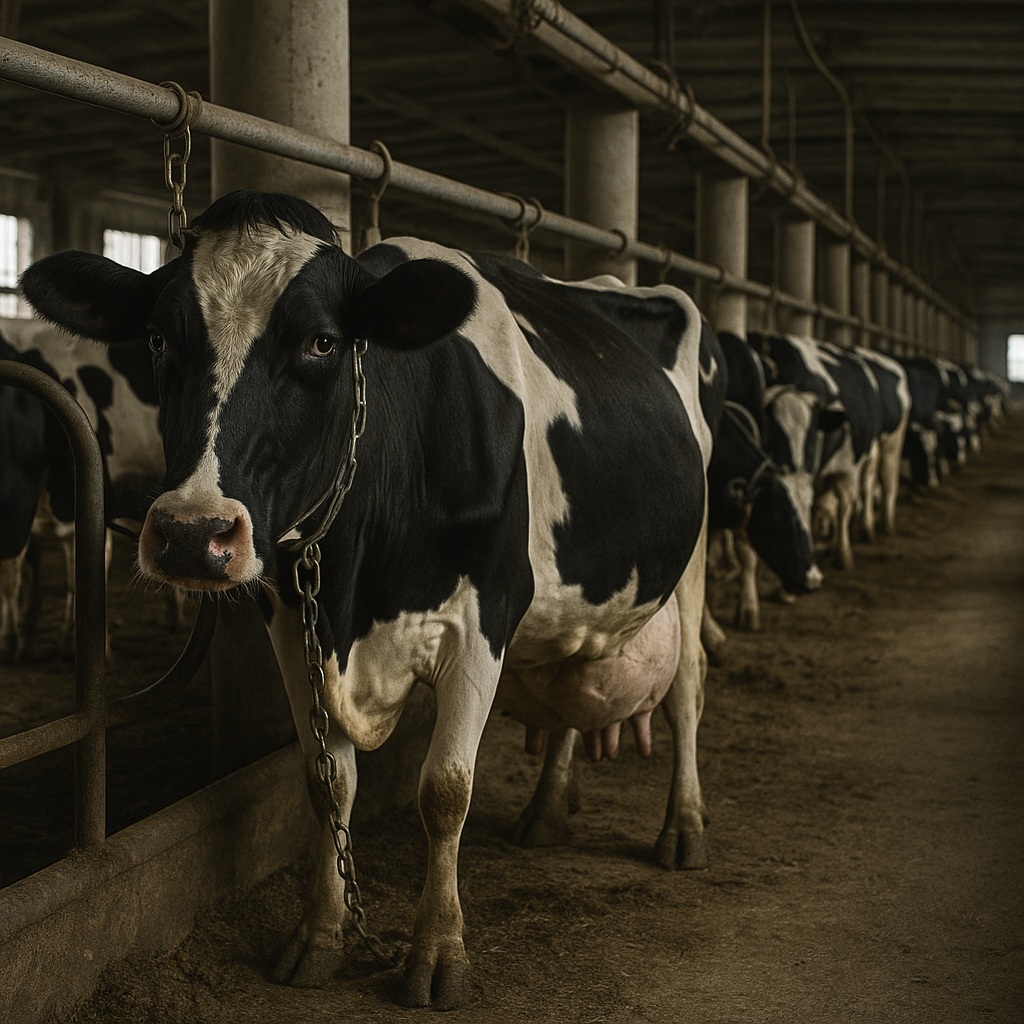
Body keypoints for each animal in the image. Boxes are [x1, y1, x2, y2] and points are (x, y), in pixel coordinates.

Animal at [22, 190, 716, 1009]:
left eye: (323, 342)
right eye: (159, 338)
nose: (194, 533)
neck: (358, 587)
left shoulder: (485, 616)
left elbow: (445, 789)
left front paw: (438, 952)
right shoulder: (293, 619)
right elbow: (327, 785)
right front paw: (319, 935)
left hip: (693, 560)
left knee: (688, 688)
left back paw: (683, 827)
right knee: (573, 682)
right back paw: (547, 809)